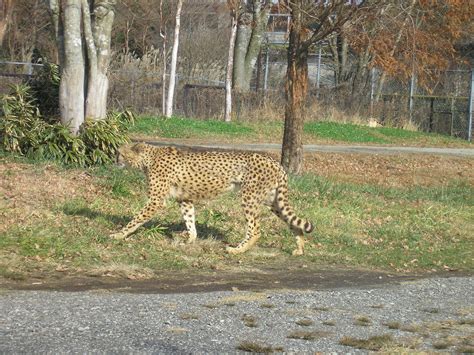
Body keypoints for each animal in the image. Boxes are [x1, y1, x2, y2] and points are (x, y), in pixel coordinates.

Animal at [111, 143, 314, 256]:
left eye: (119, 152)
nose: (115, 160)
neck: (149, 157)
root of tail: (276, 162)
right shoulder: (185, 199)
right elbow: (189, 220)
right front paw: (191, 239)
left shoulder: (156, 201)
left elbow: (136, 219)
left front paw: (119, 234)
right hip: (272, 200)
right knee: (292, 221)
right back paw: (299, 248)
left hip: (249, 197)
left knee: (255, 229)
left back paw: (237, 250)